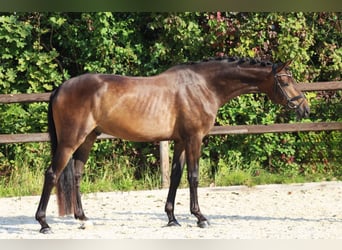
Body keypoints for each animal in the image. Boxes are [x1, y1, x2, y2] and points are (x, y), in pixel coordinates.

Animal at [34, 56, 310, 232]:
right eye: (286, 81)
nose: (304, 108)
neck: (204, 86)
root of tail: (60, 88)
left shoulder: (179, 141)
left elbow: (176, 176)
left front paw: (172, 218)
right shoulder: (194, 138)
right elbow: (194, 176)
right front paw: (200, 217)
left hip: (88, 138)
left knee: (76, 174)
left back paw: (83, 218)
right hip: (70, 141)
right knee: (52, 174)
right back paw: (44, 223)